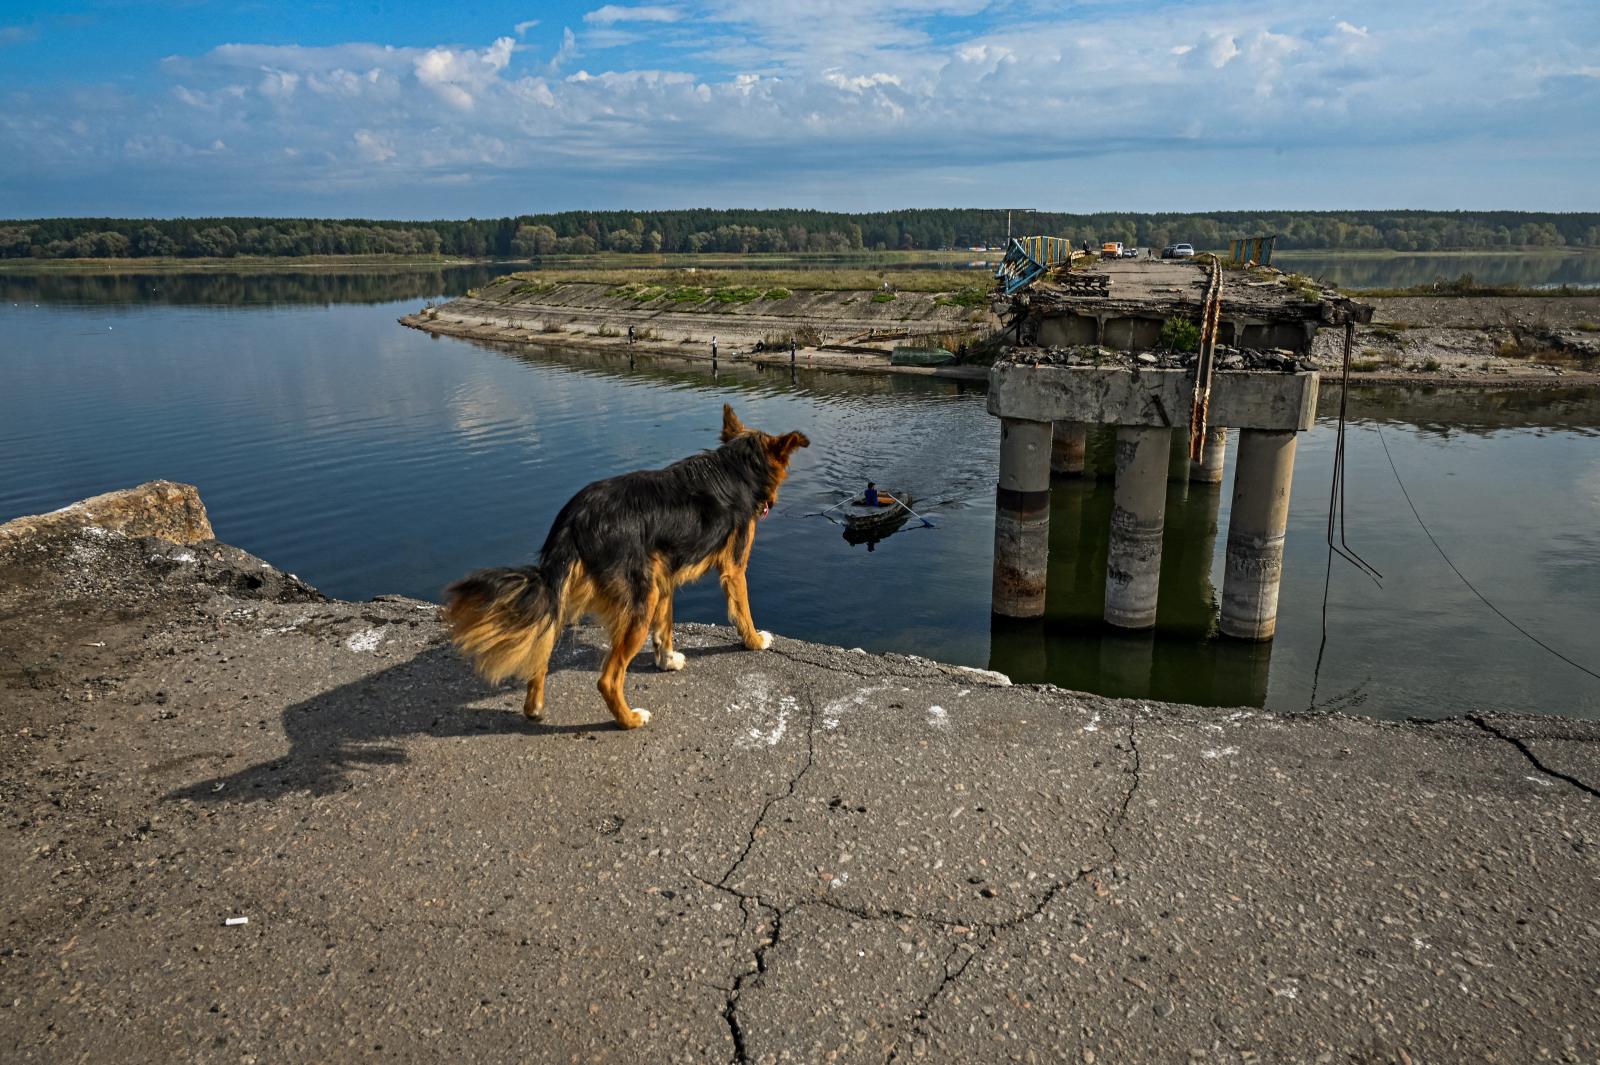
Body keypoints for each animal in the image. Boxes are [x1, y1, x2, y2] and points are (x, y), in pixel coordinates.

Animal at [441, 402, 806, 725]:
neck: (738, 468)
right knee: (608, 679)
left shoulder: (664, 578)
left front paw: (666, 660)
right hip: (638, 603)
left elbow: (665, 627)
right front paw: (754, 641)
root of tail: (576, 516)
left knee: (542, 647)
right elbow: (742, 610)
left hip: (581, 593)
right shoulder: (733, 568)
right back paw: (629, 719)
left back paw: (534, 708)